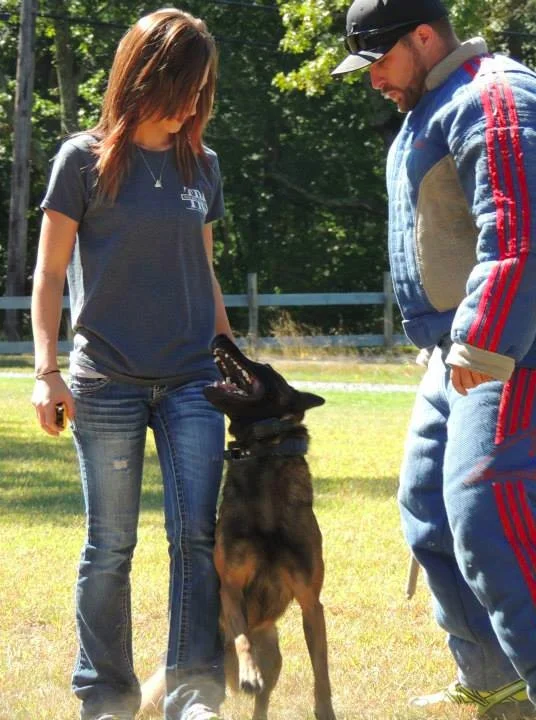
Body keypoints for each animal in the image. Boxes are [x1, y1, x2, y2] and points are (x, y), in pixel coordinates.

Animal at [141, 335, 336, 720]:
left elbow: (321, 674)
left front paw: (324, 708)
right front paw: (248, 674)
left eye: (268, 366)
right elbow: (242, 636)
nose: (220, 336)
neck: (262, 456)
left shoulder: (311, 604)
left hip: (274, 657)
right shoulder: (230, 587)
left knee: (263, 700)